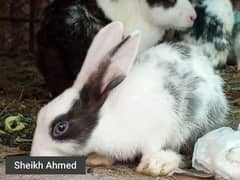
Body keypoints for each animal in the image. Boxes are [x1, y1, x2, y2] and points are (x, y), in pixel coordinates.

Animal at [31, 21, 228, 176]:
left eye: (60, 128)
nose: (35, 154)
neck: (106, 119)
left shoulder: (156, 130)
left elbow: (152, 149)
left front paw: (154, 165)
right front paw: (97, 158)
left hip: (195, 123)